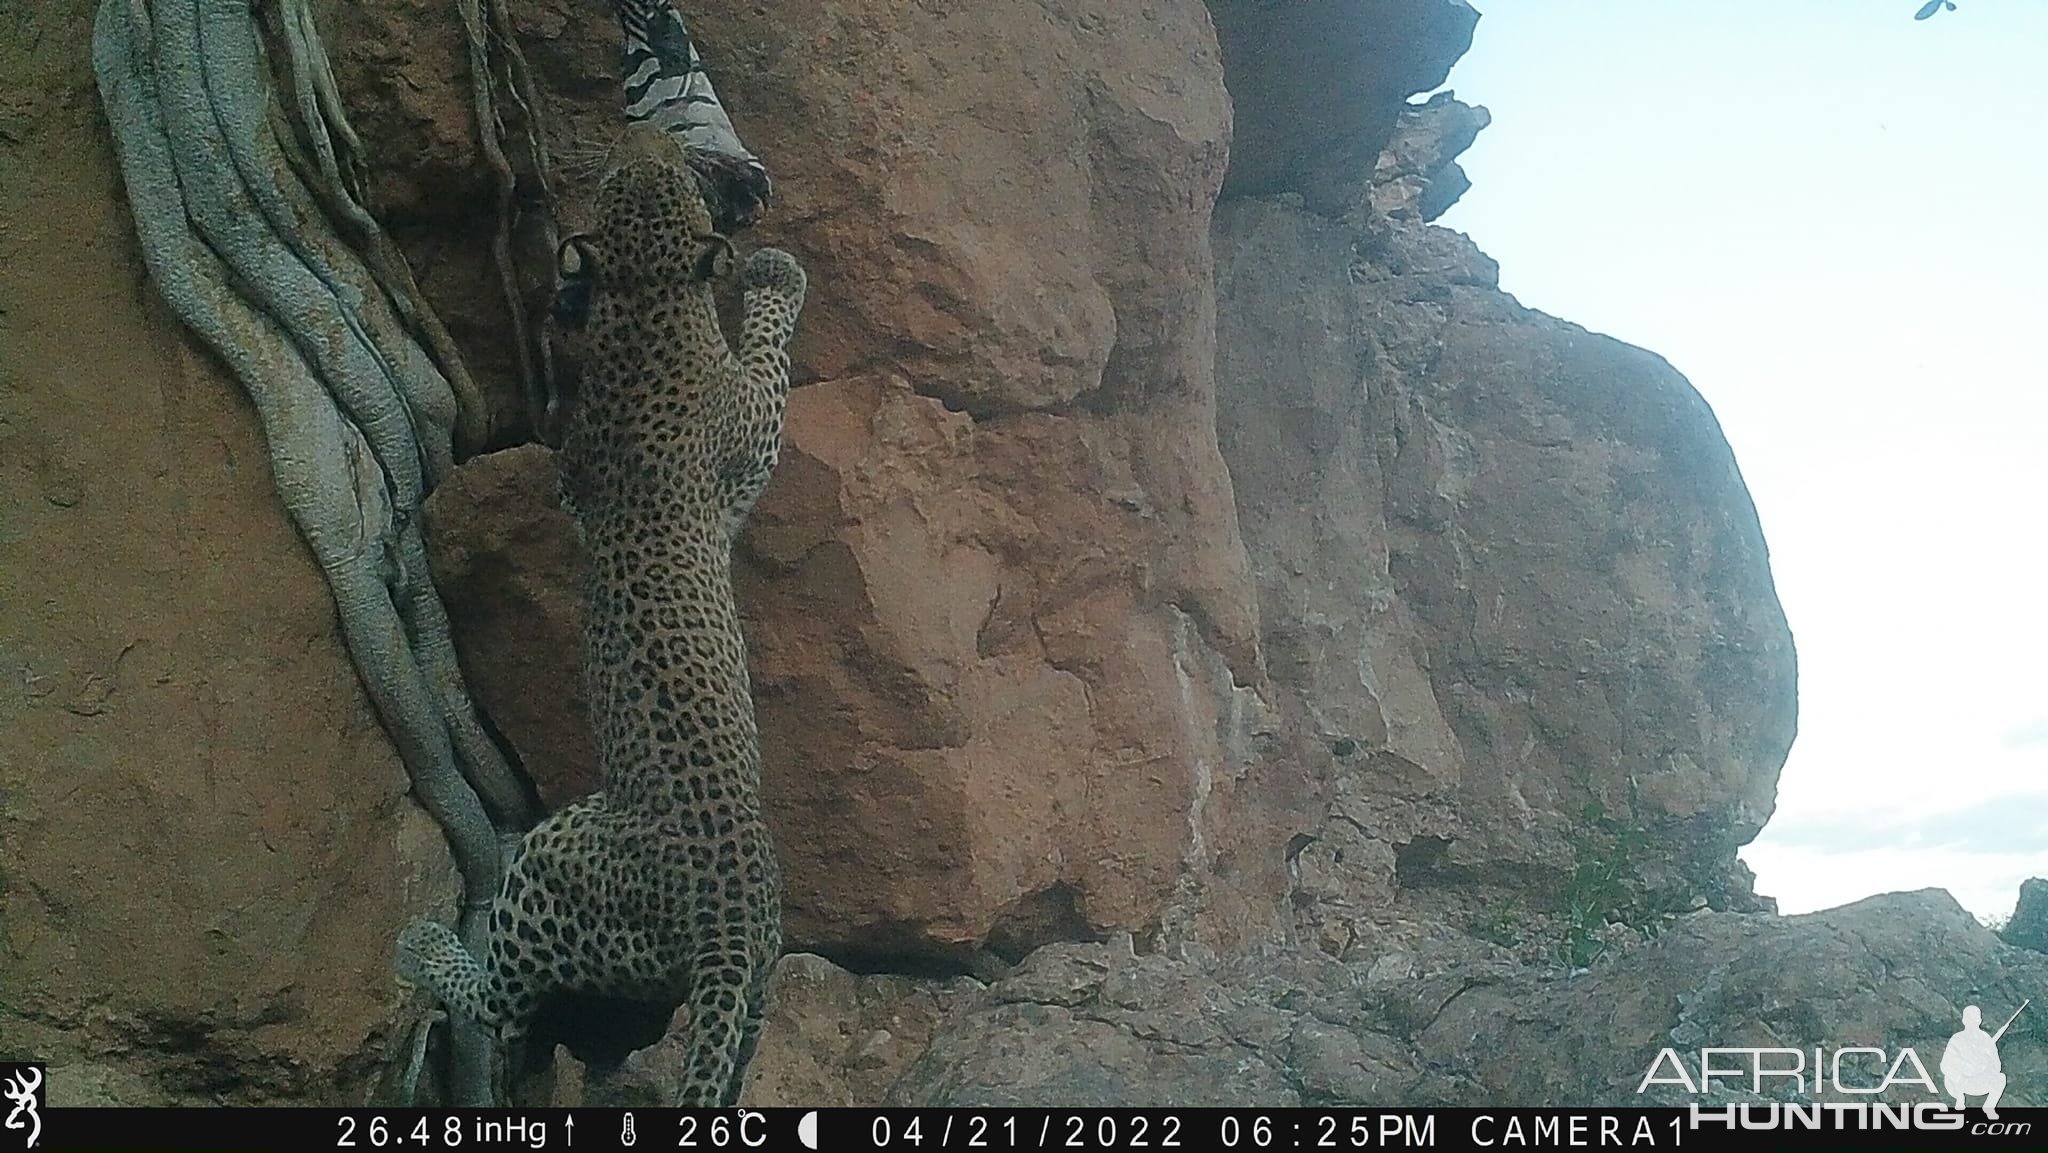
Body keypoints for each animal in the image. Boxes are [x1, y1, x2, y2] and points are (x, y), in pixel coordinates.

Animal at [399, 119, 806, 1105]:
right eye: (646, 170)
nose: (645, 129)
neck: (650, 305)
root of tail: (725, 924)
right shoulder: (750, 429)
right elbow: (769, 354)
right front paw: (777, 274)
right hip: (556, 859)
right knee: (500, 1001)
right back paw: (425, 945)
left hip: (739, 975)